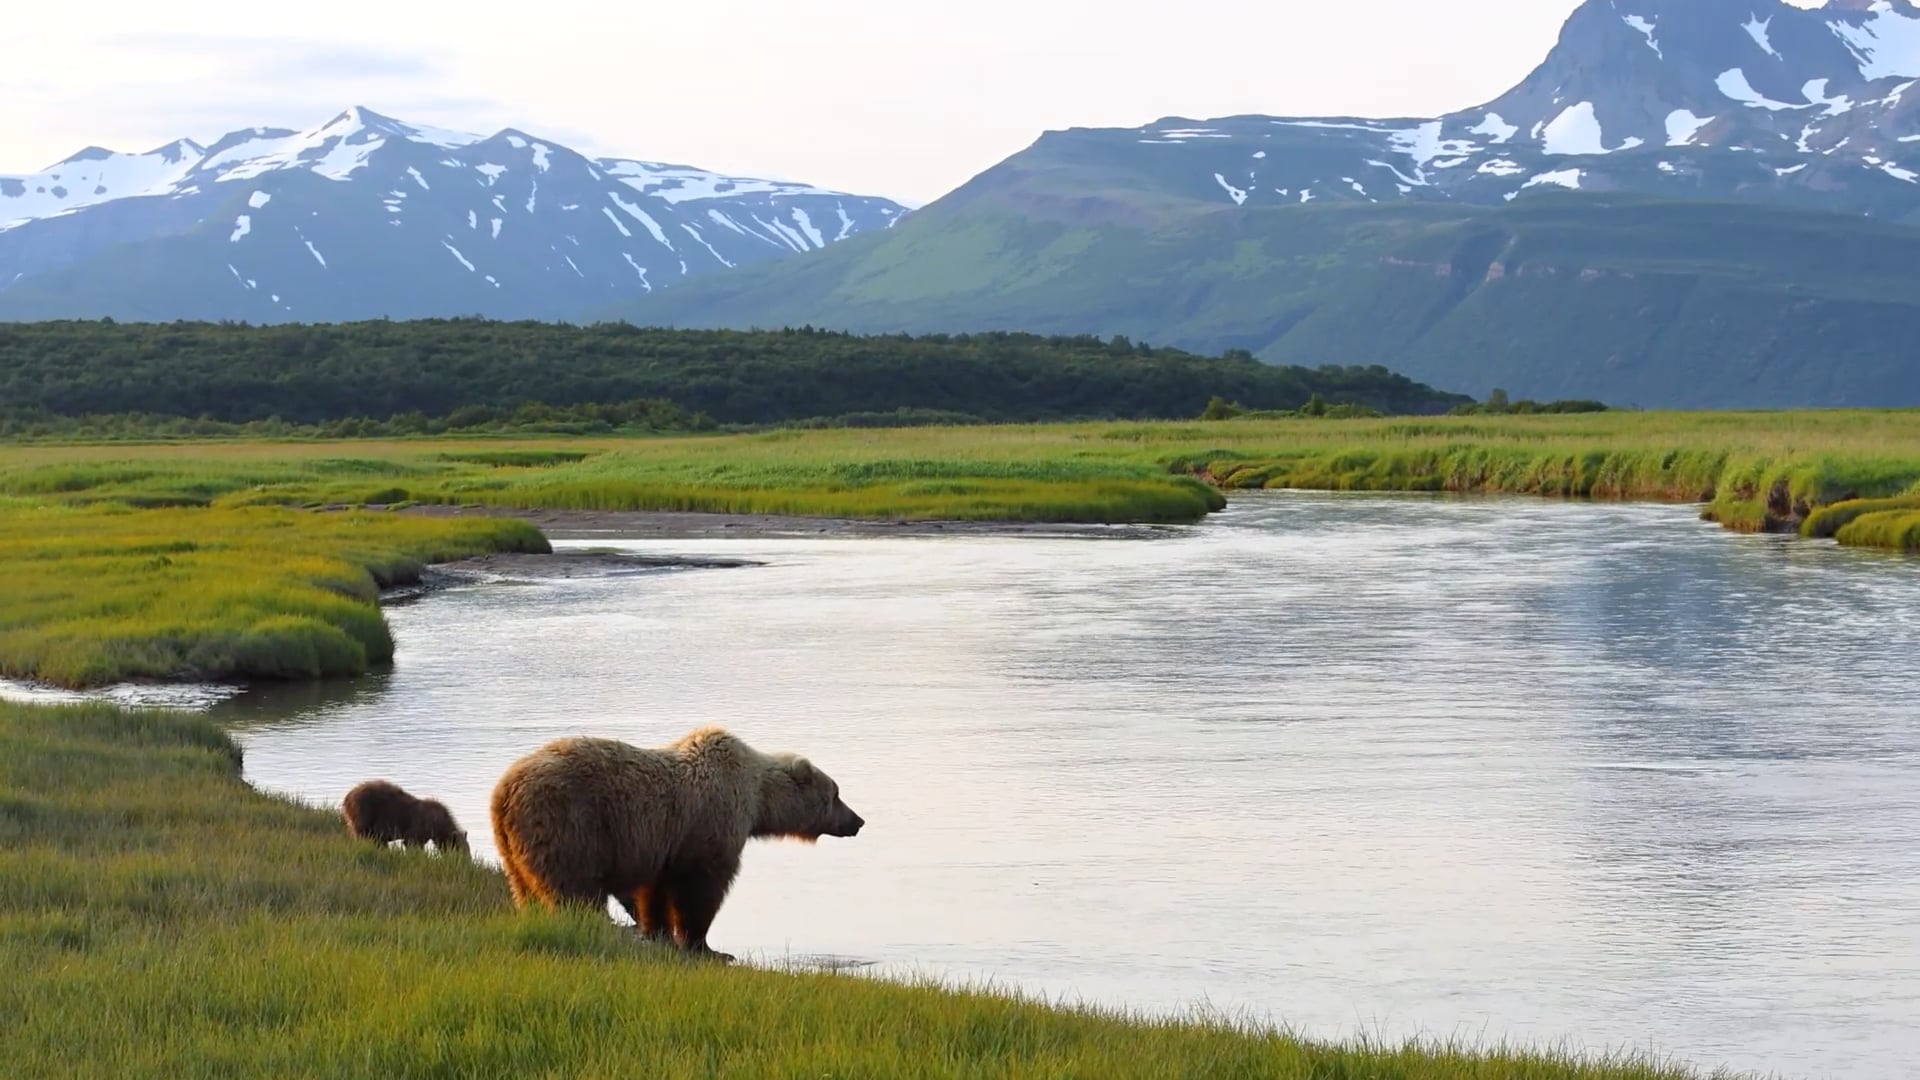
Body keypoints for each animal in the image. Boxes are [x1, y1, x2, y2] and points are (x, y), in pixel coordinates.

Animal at [341, 779, 470, 854]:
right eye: (461, 850)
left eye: (468, 849)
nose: (468, 864)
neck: (439, 824)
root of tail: (348, 796)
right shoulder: (420, 826)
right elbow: (411, 843)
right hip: (364, 811)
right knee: (362, 834)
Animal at [488, 726, 864, 962]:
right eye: (836, 793)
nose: (858, 821)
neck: (757, 801)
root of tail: (503, 791)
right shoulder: (708, 826)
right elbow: (701, 889)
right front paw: (708, 948)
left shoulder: (663, 844)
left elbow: (654, 890)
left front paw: (657, 932)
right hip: (569, 824)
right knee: (574, 889)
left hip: (513, 848)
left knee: (525, 889)